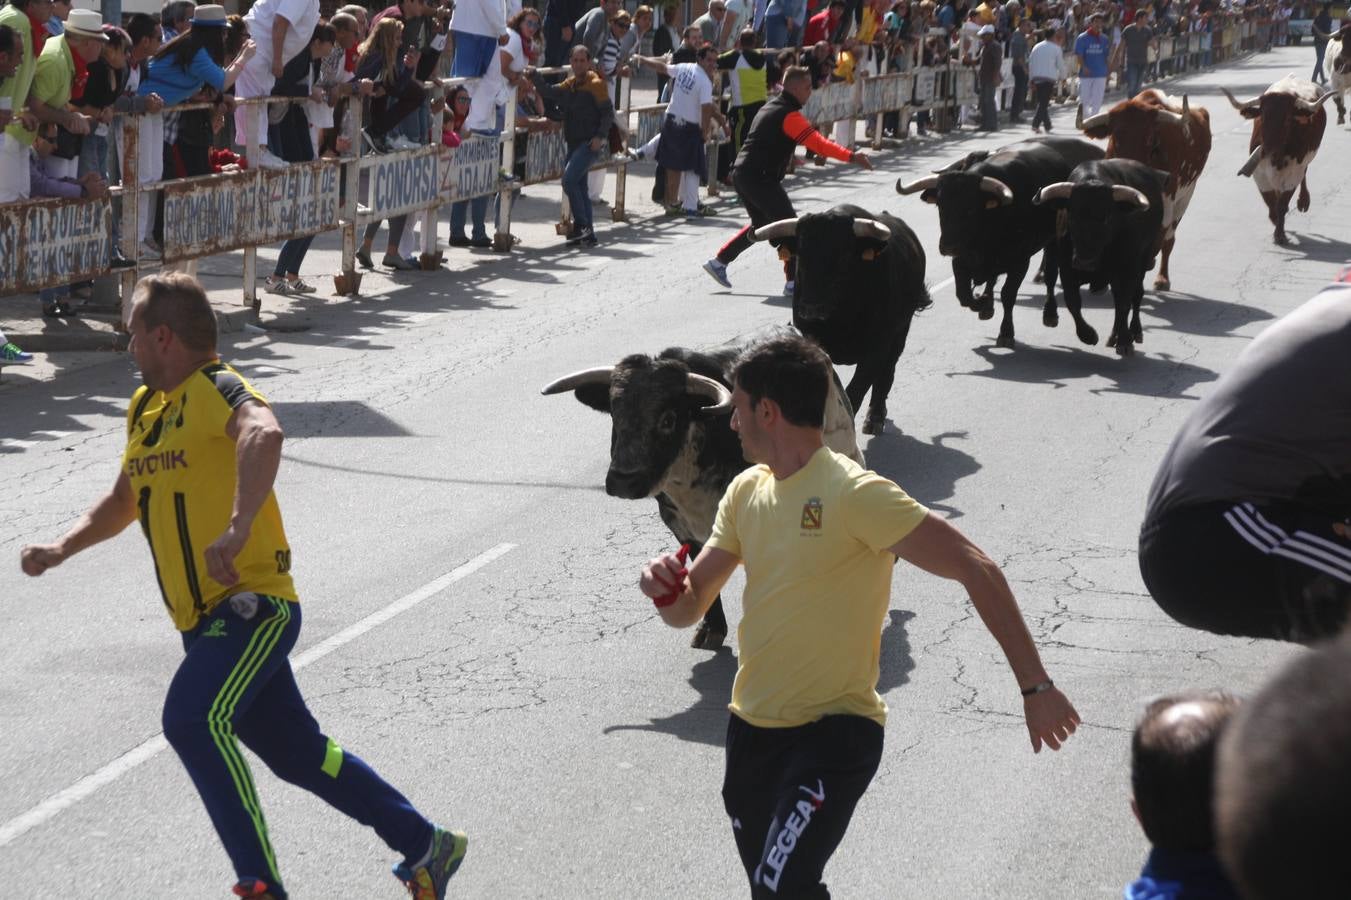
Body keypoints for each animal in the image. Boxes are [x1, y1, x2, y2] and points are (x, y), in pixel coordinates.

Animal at [751, 208, 929, 437]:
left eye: (843, 257)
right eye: (801, 255)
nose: (811, 307)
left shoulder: (876, 349)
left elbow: (854, 393)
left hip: (900, 334)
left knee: (886, 373)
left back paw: (875, 417)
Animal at [897, 135, 1107, 345]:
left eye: (970, 208)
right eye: (940, 205)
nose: (949, 246)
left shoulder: (1020, 262)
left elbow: (1008, 295)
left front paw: (1006, 332)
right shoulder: (961, 260)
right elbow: (964, 295)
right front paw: (982, 302)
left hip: (1054, 241)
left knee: (1049, 276)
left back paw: (1050, 313)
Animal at [1075, 87, 1215, 287]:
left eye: (1150, 140)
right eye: (1115, 138)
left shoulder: (1168, 197)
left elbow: (1161, 231)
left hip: (1185, 196)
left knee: (1169, 238)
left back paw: (1162, 278)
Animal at [1226, 75, 1340, 243]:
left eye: (1287, 119)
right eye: (1262, 116)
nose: (1267, 151)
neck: (1277, 157)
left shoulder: (1294, 173)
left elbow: (1282, 203)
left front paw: (1280, 233)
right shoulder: (1260, 175)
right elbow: (1271, 202)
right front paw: (1275, 221)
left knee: (1304, 174)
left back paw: (1303, 201)